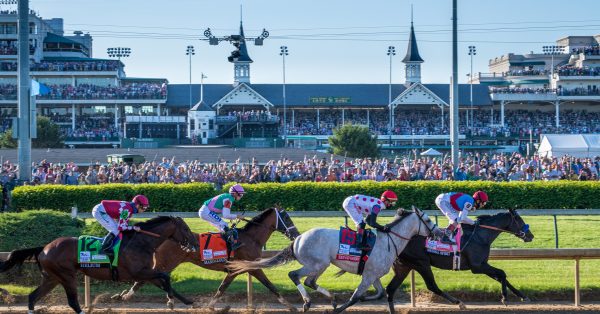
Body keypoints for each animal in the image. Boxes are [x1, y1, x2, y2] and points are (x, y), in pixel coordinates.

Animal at [0, 216, 200, 314]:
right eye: (186, 229)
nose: (195, 244)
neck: (141, 241)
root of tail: (44, 248)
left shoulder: (146, 272)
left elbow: (165, 282)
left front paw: (189, 302)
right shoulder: (139, 272)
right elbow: (165, 277)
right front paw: (170, 301)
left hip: (52, 278)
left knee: (32, 297)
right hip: (66, 275)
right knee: (72, 301)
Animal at [110, 206, 300, 312]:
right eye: (287, 217)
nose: (296, 234)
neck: (250, 239)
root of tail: (165, 238)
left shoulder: (236, 270)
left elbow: (222, 288)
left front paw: (211, 305)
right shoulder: (252, 267)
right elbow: (271, 286)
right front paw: (292, 306)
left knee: (150, 279)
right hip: (167, 262)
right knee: (147, 279)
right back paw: (127, 296)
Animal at [227, 207, 438, 312]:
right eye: (428, 220)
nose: (439, 232)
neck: (388, 241)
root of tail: (298, 238)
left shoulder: (374, 275)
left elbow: (379, 294)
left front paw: (364, 300)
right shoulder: (368, 276)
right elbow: (355, 297)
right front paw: (346, 305)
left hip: (318, 265)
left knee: (309, 281)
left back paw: (330, 299)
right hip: (318, 263)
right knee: (296, 276)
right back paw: (308, 302)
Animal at [384, 209, 536, 314]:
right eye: (519, 220)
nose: (531, 236)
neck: (480, 236)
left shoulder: (482, 265)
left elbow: (502, 277)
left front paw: (523, 296)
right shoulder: (477, 266)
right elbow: (502, 273)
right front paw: (505, 298)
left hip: (404, 266)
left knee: (390, 289)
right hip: (421, 263)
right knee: (432, 286)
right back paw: (459, 303)